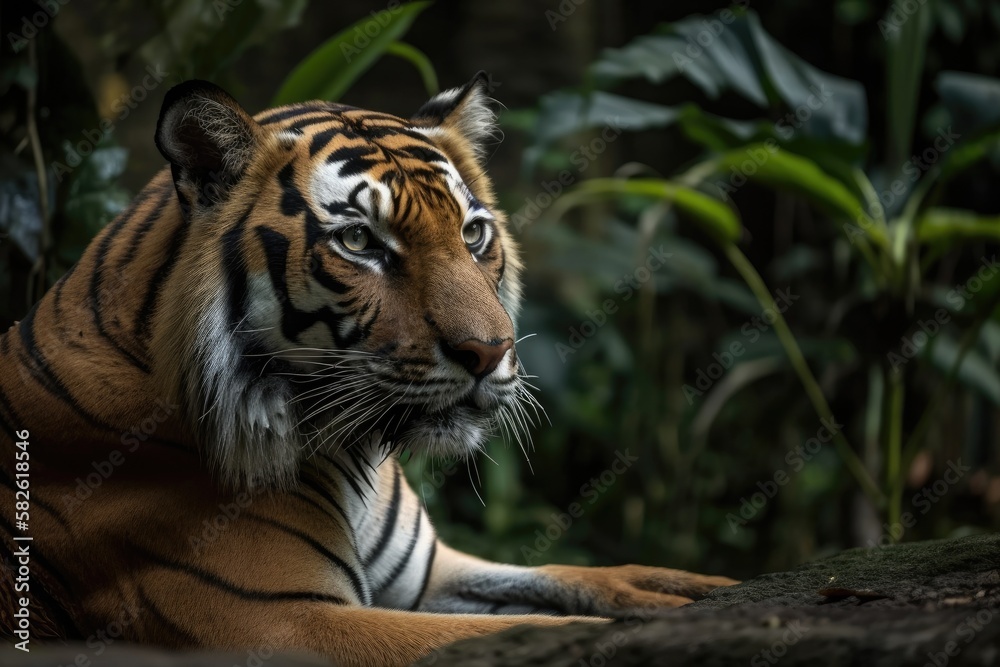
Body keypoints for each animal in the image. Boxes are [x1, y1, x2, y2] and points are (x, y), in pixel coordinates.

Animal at [0, 74, 736, 667]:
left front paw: (696, 589)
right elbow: (542, 632)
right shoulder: (278, 622)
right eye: (360, 242)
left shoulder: (427, 578)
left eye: (472, 234)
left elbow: (575, 575)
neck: (349, 453)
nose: (490, 350)